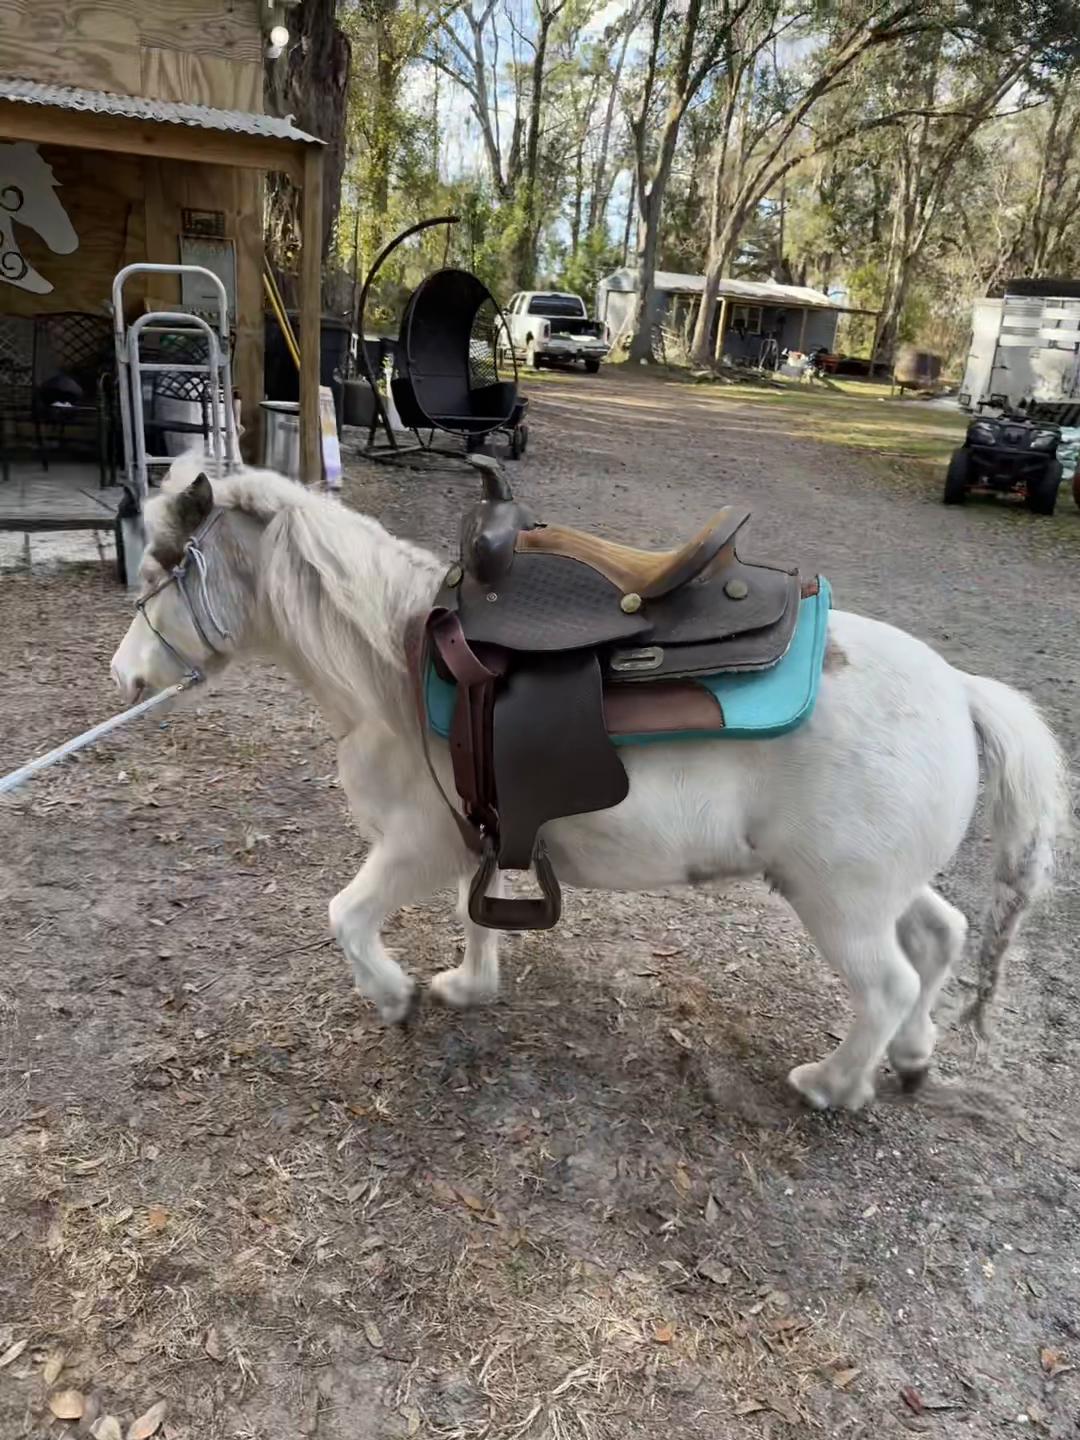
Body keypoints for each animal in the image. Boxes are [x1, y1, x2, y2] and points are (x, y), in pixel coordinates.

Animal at [109, 457, 1068, 1112]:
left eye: (158, 569)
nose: (123, 675)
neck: (394, 655)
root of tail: (960, 691)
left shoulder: (414, 846)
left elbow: (346, 916)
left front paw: (393, 997)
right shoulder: (477, 829)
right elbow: (473, 914)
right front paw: (467, 987)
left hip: (840, 902)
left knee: (889, 984)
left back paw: (831, 1082)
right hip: (881, 887)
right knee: (941, 939)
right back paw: (911, 1056)